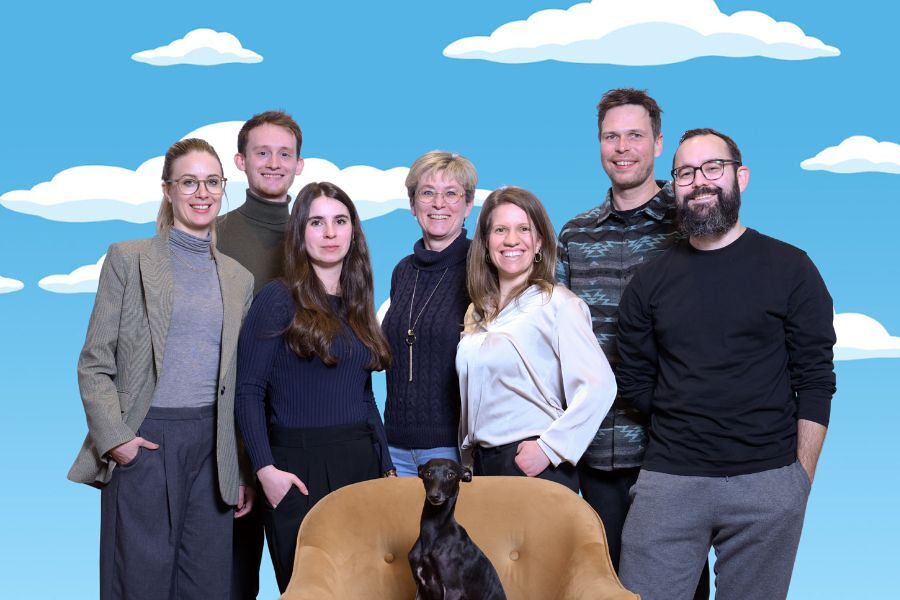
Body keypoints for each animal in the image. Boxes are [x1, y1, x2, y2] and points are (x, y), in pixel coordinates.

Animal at [408, 458, 506, 600]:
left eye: (451, 474)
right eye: (428, 473)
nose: (434, 496)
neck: (433, 532)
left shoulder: (453, 590)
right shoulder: (420, 589)